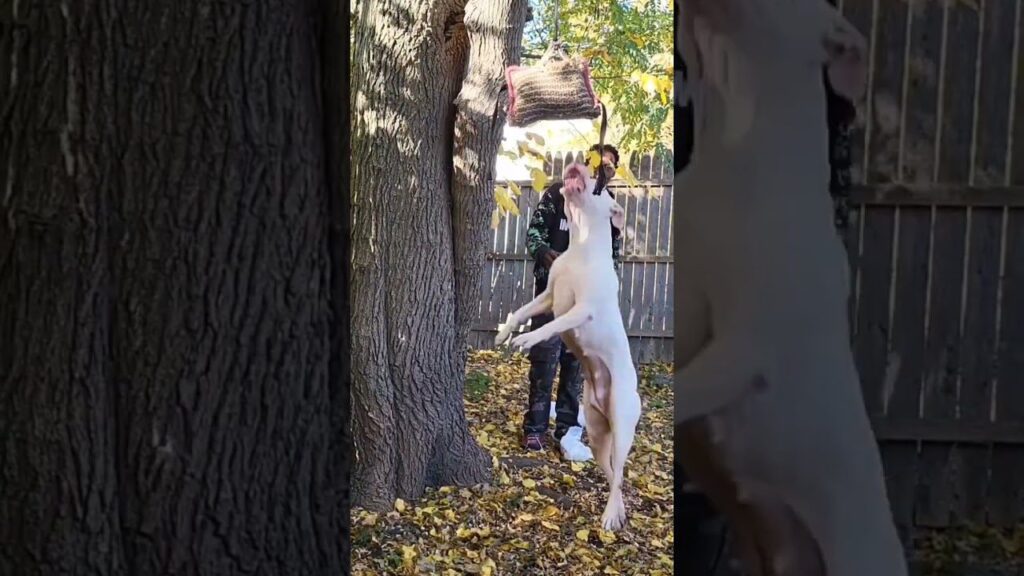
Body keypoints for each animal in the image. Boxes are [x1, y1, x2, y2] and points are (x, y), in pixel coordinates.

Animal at [493, 162, 638, 528]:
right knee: (611, 472)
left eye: (600, 186)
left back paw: (610, 515)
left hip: (622, 423)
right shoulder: (547, 297)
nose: (583, 165)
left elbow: (552, 327)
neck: (582, 245)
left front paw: (526, 338)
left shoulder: (581, 310)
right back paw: (617, 510)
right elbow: (522, 312)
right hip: (599, 433)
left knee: (620, 473)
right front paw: (505, 332)